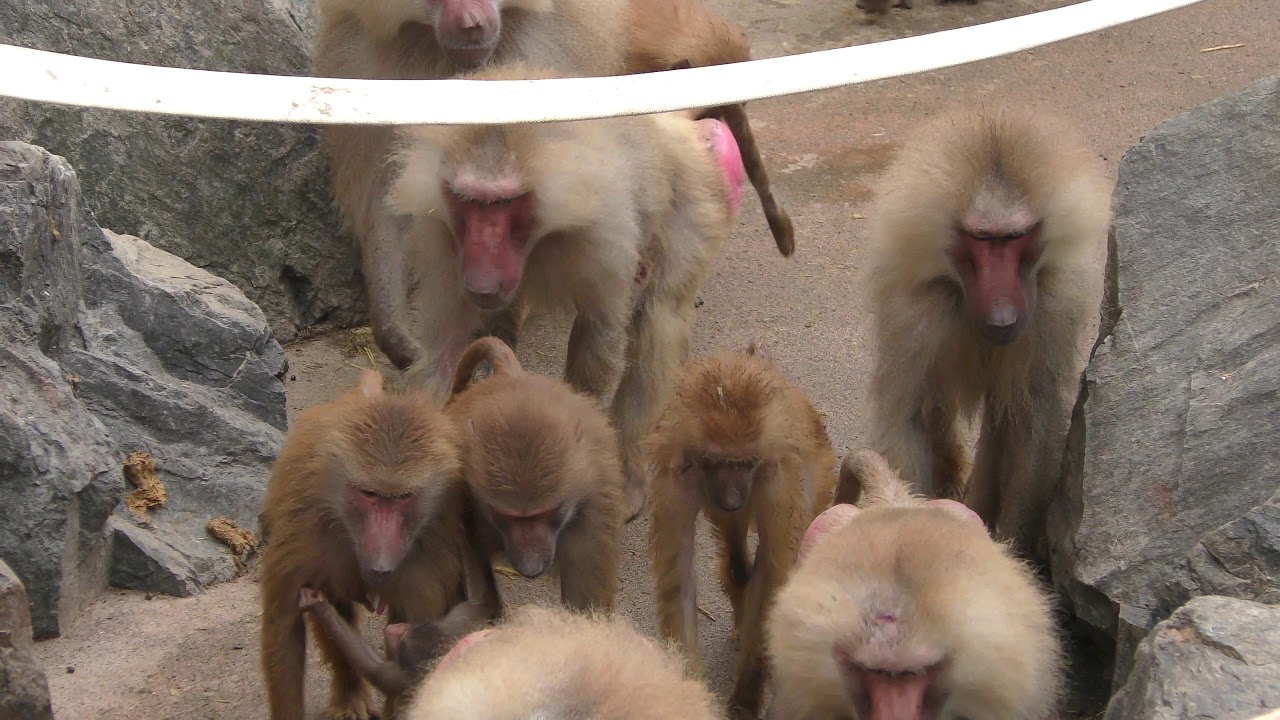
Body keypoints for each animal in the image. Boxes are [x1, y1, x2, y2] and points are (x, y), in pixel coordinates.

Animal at [389, 63, 747, 522]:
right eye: (468, 201)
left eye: (502, 204)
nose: (481, 280)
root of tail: (674, 124)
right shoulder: (447, 241)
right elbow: (447, 353)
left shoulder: (604, 231)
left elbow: (598, 341)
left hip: (694, 193)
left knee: (659, 319)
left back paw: (629, 475)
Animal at [645, 340, 837, 720]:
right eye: (717, 463)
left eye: (744, 464)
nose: (733, 496)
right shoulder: (679, 476)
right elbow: (680, 580)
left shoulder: (776, 480)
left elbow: (769, 583)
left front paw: (745, 699)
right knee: (735, 552)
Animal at [863, 106, 1111, 557]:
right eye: (981, 239)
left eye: (1013, 238)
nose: (1002, 317)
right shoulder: (917, 313)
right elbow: (909, 418)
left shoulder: (1051, 303)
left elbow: (1034, 415)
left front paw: (1013, 553)